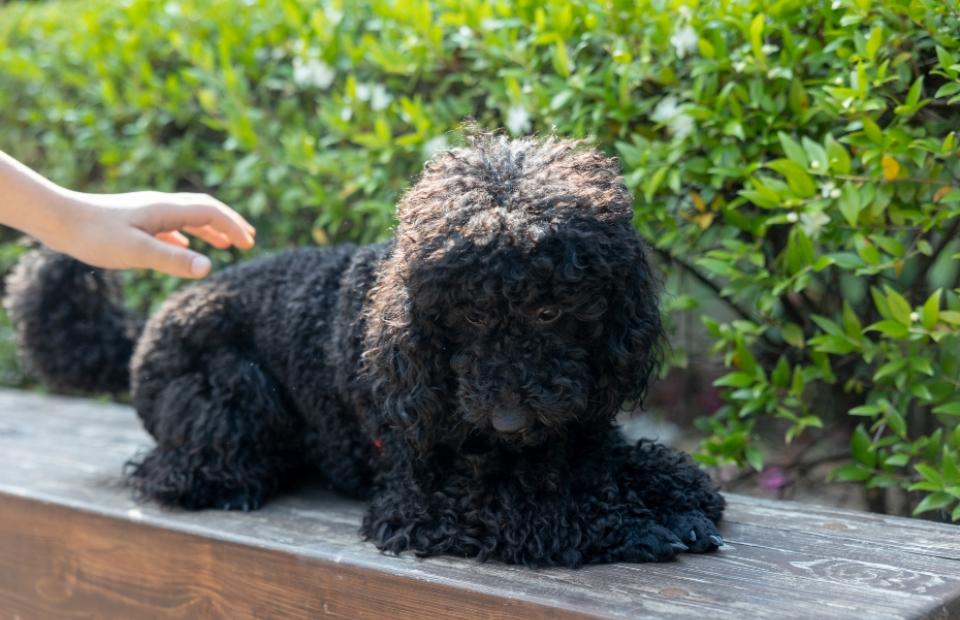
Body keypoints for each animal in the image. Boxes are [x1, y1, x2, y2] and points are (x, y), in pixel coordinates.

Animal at [5, 136, 720, 568]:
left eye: (549, 311)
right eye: (470, 315)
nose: (509, 419)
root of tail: (146, 330)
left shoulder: (577, 432)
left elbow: (647, 465)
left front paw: (674, 496)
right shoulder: (422, 501)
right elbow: (535, 510)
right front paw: (637, 525)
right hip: (233, 386)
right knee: (176, 471)